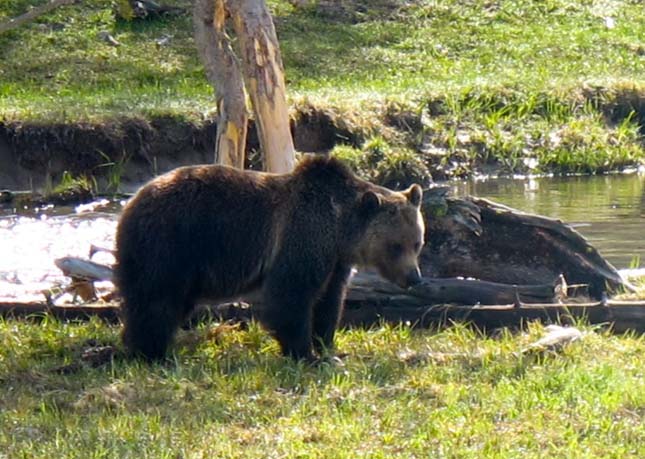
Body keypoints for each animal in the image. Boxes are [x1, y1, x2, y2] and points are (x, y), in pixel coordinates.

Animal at [114, 156, 428, 362]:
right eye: (395, 246)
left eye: (417, 243)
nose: (414, 277)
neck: (340, 229)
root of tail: (130, 202)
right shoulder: (303, 235)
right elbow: (292, 295)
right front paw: (304, 353)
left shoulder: (335, 261)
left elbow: (330, 300)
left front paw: (328, 346)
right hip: (170, 243)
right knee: (157, 299)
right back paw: (151, 352)